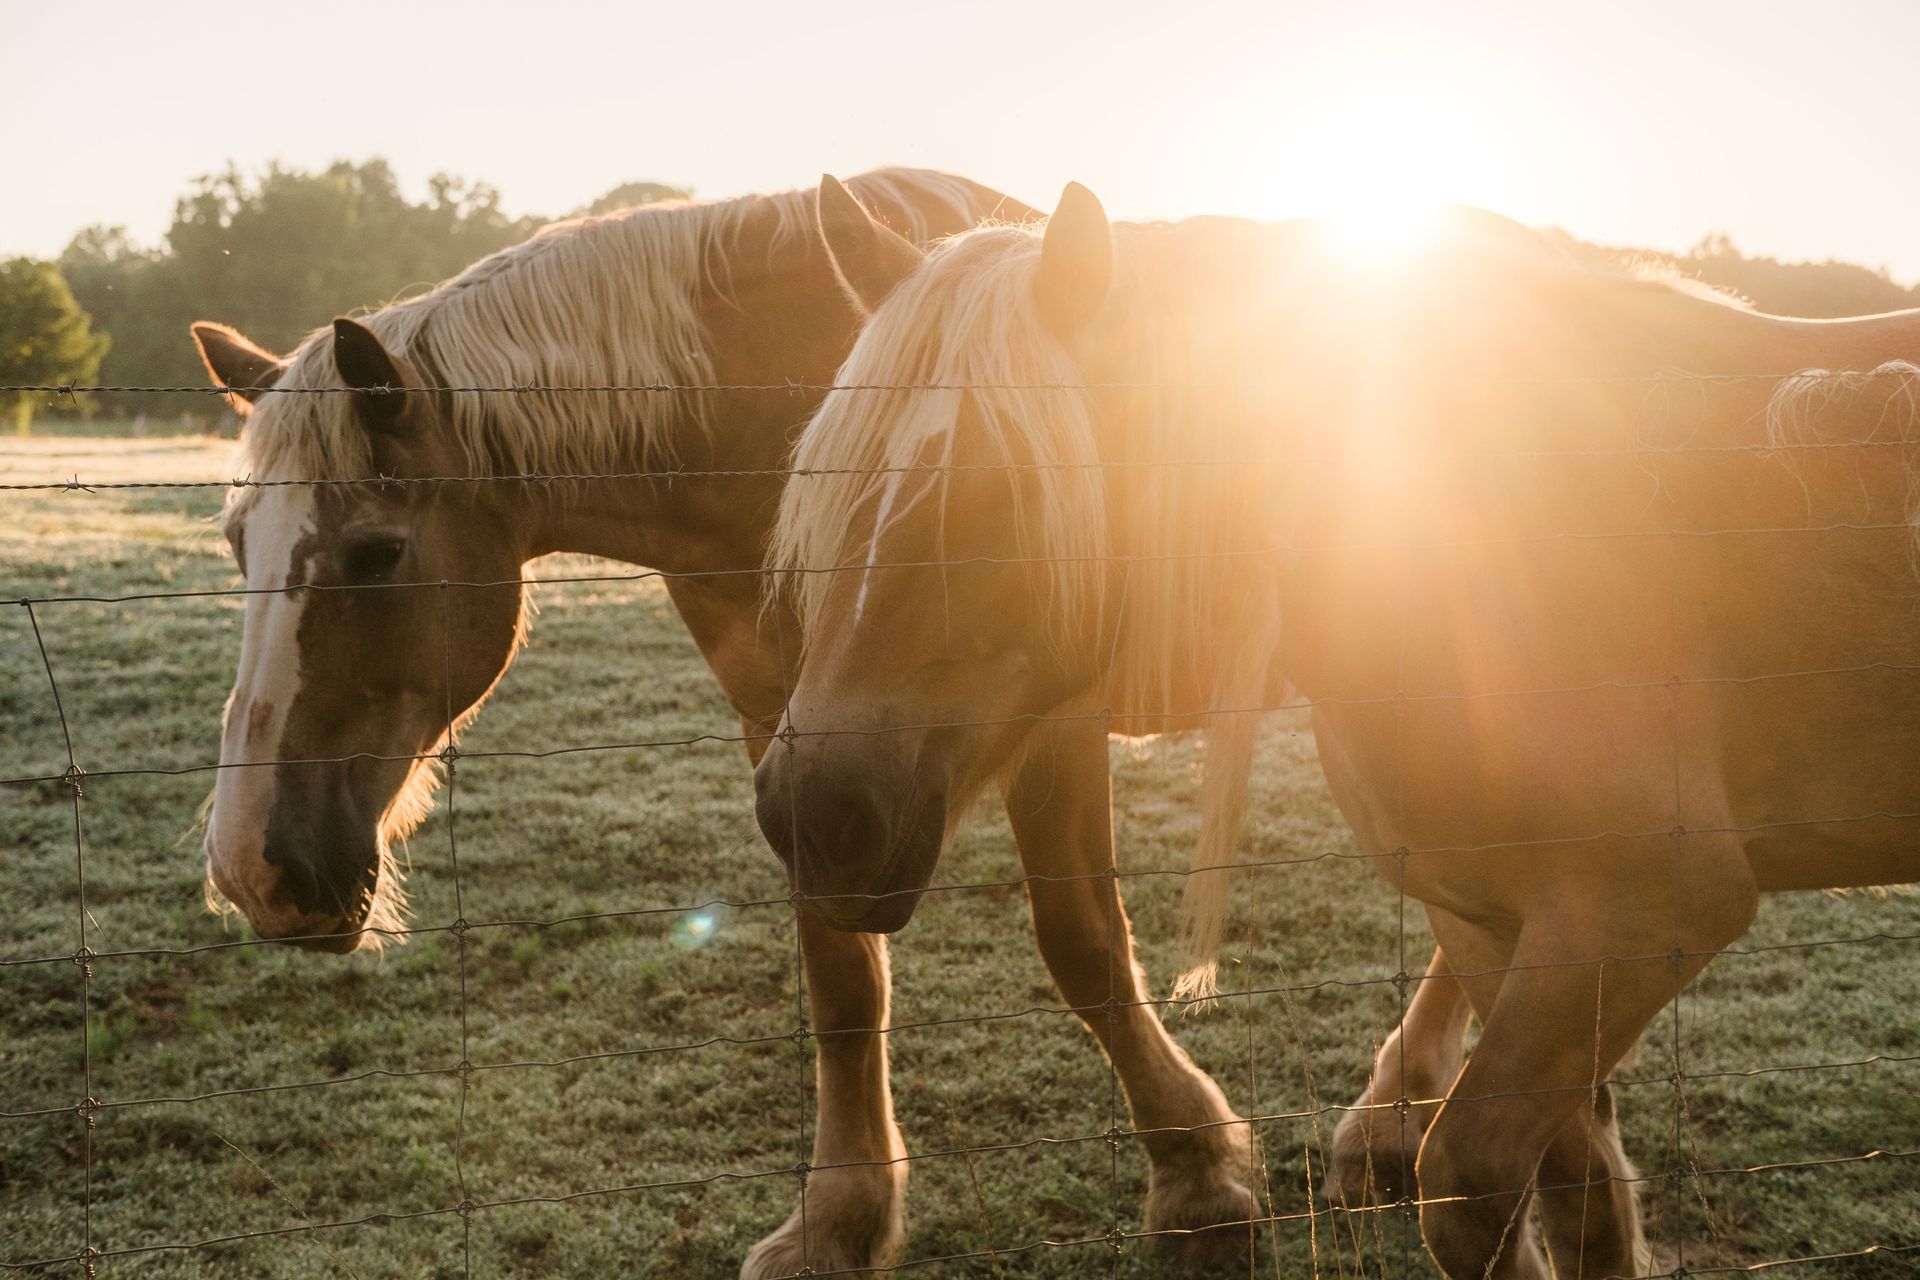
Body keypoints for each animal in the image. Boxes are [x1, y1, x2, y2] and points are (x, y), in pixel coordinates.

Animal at [190, 169, 1260, 1276]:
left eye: (376, 551)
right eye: (234, 542)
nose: (252, 867)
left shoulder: (1046, 716)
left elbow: (1084, 946)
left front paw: (1197, 1177)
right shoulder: (795, 742)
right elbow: (841, 979)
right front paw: (840, 1217)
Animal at [757, 176, 1920, 1277]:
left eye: (997, 498)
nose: (811, 811)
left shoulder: (1639, 912)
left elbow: (1469, 1187)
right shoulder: (1495, 923)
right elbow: (1581, 1202)